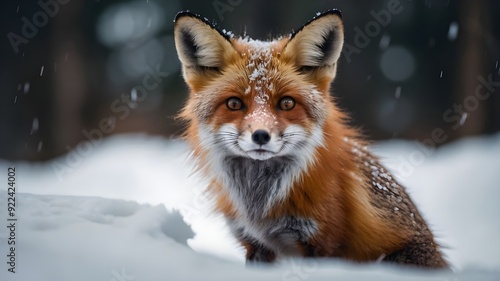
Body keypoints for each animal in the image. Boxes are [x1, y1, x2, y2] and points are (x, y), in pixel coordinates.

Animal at [174, 9, 448, 266]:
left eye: (286, 103)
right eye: (234, 103)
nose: (261, 135)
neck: (261, 203)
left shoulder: (322, 241)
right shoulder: (255, 243)